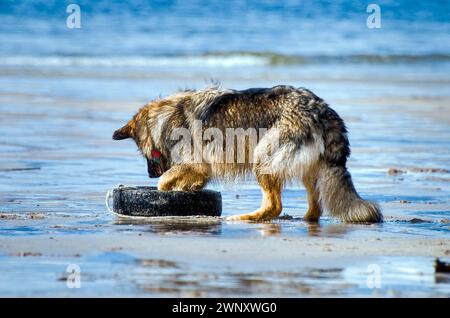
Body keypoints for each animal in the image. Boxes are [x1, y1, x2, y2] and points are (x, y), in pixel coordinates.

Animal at [113, 85, 384, 222]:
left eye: (143, 153)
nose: (148, 176)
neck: (162, 118)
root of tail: (323, 110)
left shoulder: (194, 162)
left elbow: (167, 179)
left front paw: (164, 187)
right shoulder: (202, 167)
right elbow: (192, 179)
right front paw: (184, 188)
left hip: (262, 158)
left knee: (274, 205)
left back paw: (246, 217)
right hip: (307, 168)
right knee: (315, 207)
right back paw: (304, 220)